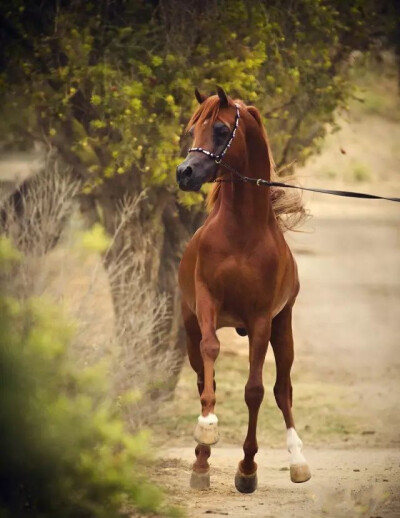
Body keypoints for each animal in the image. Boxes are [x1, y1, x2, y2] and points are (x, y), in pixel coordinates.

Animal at [177, 87, 310, 494]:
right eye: (192, 130)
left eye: (220, 130)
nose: (184, 173)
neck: (241, 233)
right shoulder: (207, 303)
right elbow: (211, 357)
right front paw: (206, 432)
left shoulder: (261, 320)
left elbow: (256, 391)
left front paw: (248, 469)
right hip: (190, 329)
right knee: (205, 378)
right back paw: (201, 460)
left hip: (284, 330)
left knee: (283, 390)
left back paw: (298, 461)